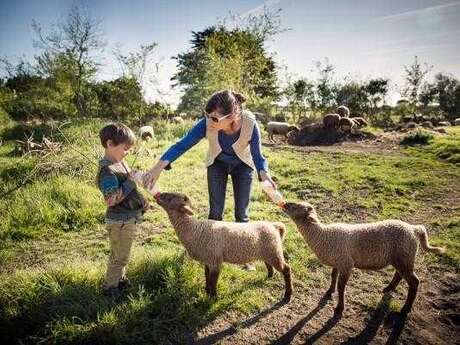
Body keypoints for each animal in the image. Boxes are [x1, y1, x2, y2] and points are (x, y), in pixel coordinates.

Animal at [155, 192, 292, 300]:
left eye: (171, 198)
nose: (158, 195)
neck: (194, 229)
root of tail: (274, 226)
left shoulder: (215, 260)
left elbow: (213, 280)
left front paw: (213, 298)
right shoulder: (208, 260)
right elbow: (207, 276)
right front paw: (207, 291)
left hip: (274, 251)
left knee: (286, 269)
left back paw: (288, 295)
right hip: (268, 251)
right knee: (269, 264)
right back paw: (269, 276)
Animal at [282, 200, 444, 316]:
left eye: (297, 206)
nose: (285, 203)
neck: (323, 235)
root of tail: (413, 229)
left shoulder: (346, 264)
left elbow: (341, 287)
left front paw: (339, 308)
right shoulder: (338, 261)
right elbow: (333, 276)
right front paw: (329, 292)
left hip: (405, 257)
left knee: (414, 282)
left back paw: (405, 310)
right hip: (401, 258)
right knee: (399, 274)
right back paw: (388, 288)